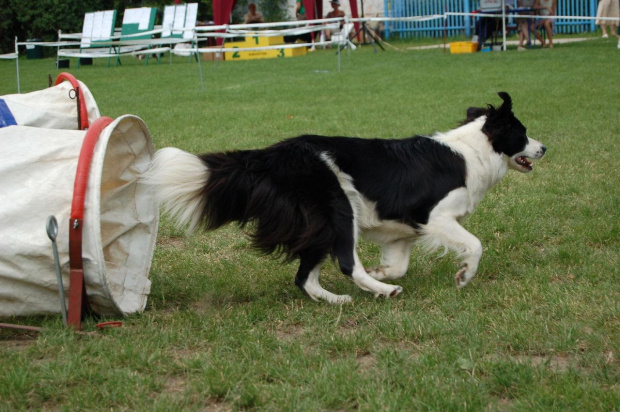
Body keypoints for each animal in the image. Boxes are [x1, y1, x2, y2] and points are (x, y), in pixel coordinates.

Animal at [144, 92, 544, 302]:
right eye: (523, 133)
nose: (544, 148)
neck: (473, 149)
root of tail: (272, 155)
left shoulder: (401, 231)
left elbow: (400, 262)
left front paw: (384, 270)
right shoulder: (436, 217)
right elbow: (475, 244)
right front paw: (464, 276)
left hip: (318, 225)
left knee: (304, 277)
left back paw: (339, 298)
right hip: (339, 209)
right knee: (346, 264)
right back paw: (384, 291)